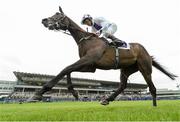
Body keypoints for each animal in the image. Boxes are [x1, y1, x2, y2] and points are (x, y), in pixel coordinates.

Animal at [27, 6, 176, 106]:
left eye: (57, 15)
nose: (44, 20)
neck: (86, 39)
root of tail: (147, 52)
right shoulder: (89, 65)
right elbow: (68, 70)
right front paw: (74, 93)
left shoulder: (88, 60)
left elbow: (65, 69)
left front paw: (37, 94)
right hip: (126, 69)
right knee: (122, 85)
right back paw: (107, 99)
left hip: (144, 68)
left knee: (152, 87)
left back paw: (154, 107)